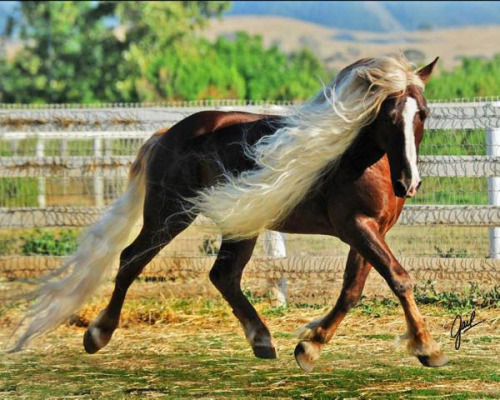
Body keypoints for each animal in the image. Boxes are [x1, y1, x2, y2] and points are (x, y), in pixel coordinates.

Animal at [7, 54, 446, 374]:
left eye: (423, 112)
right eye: (388, 114)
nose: (409, 182)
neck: (360, 158)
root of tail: (165, 135)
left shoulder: (372, 231)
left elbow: (352, 290)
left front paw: (309, 347)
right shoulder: (355, 226)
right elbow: (399, 279)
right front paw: (427, 347)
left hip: (241, 223)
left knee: (224, 276)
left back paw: (262, 340)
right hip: (168, 215)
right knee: (132, 259)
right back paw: (98, 334)